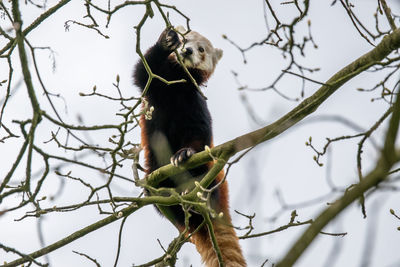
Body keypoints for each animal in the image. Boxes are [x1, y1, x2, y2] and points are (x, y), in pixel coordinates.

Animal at [133, 27, 245, 267]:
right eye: (185, 40)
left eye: (201, 49)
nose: (187, 50)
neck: (175, 82)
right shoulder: (153, 84)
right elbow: (143, 70)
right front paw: (166, 41)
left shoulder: (194, 101)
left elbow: (198, 133)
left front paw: (184, 153)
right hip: (154, 166)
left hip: (213, 175)